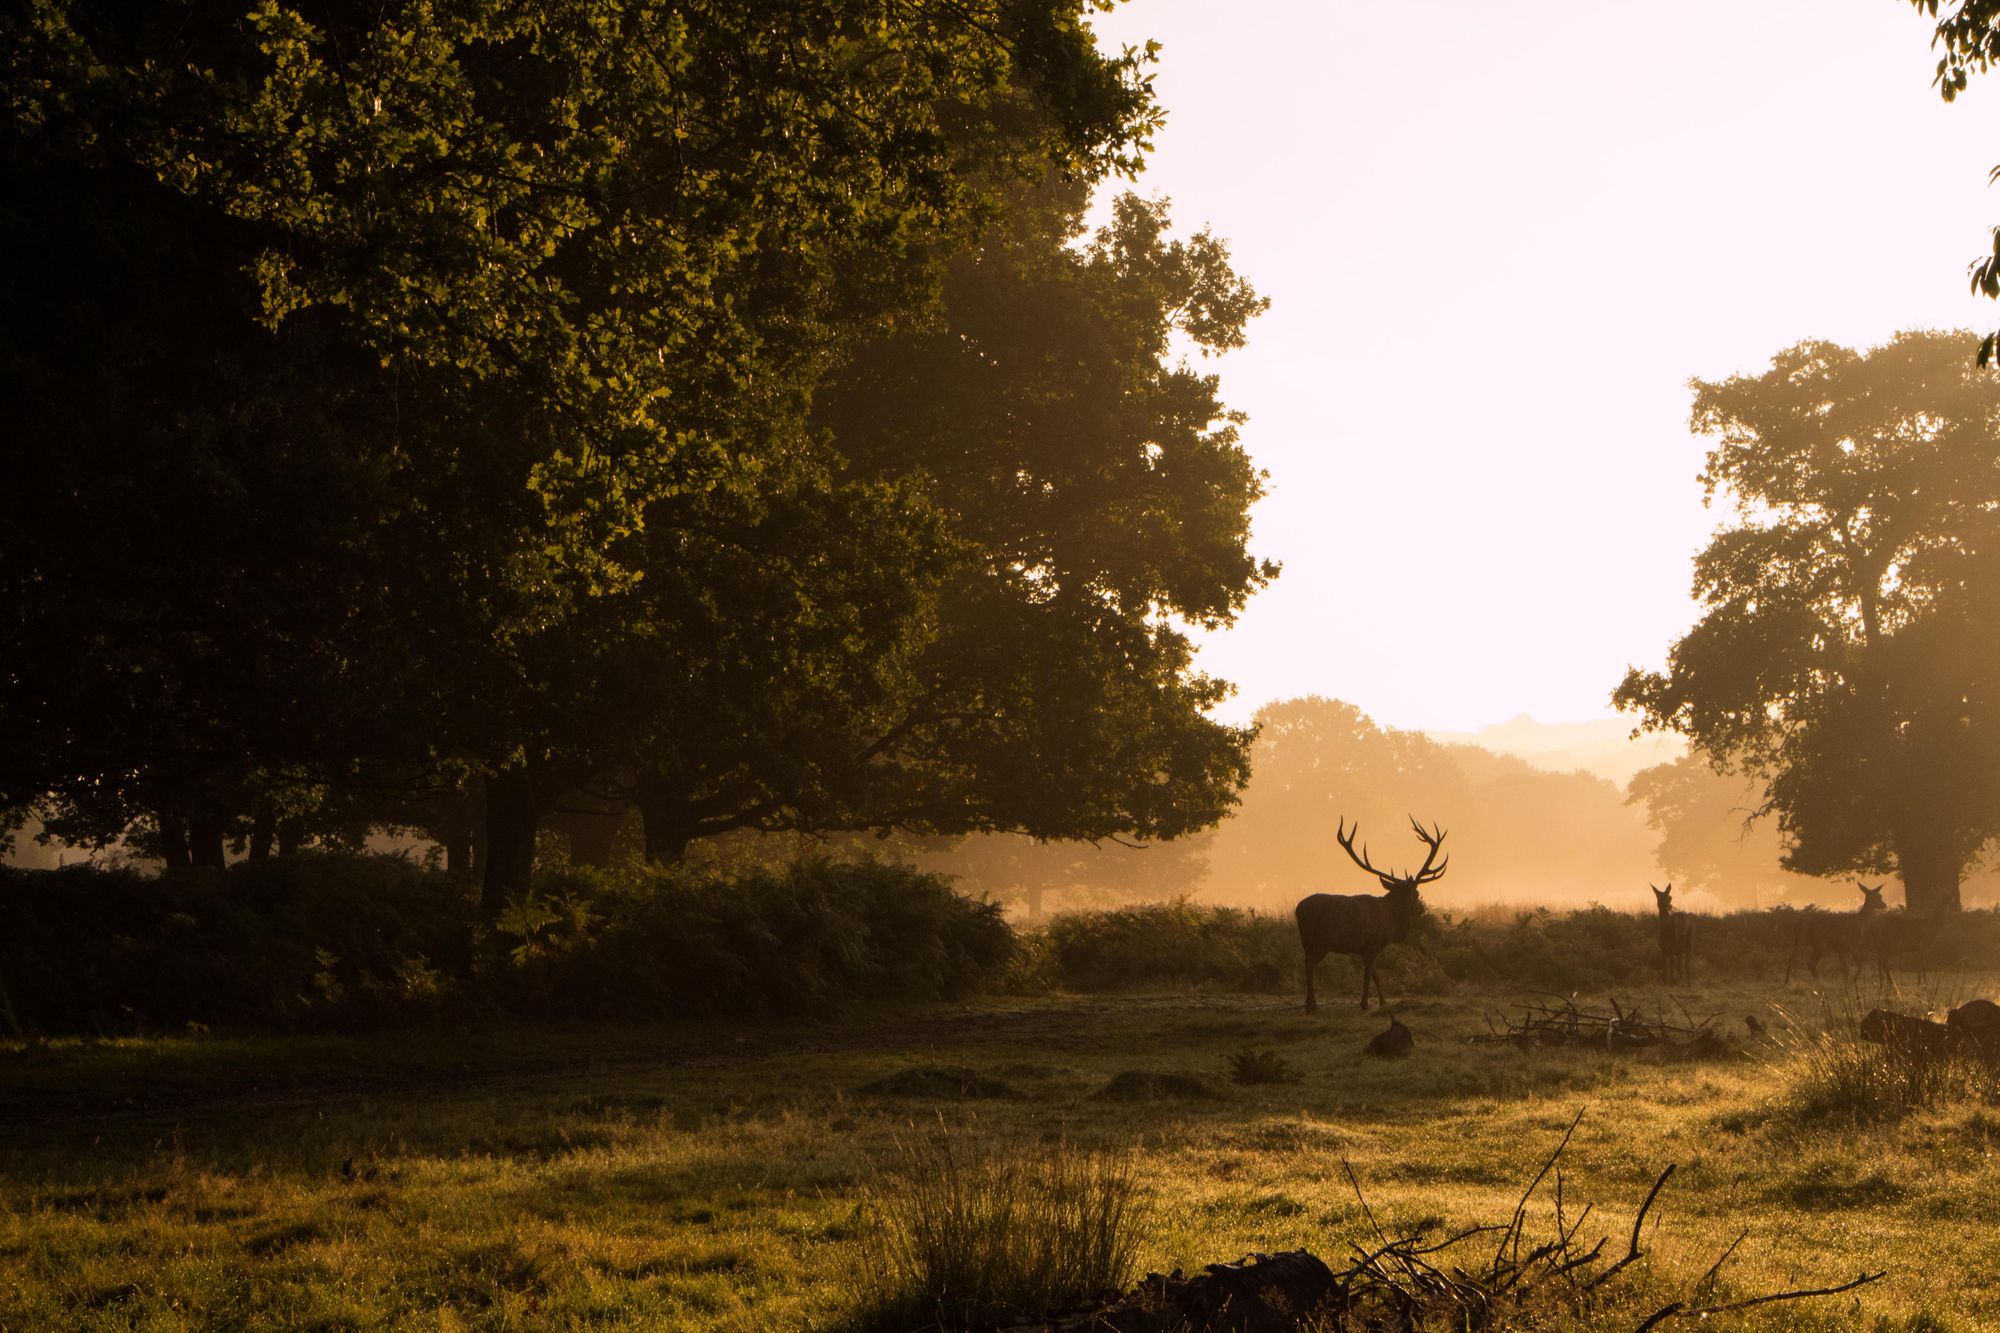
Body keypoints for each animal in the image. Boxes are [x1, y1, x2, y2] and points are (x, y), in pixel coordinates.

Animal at [1288, 816, 1448, 1012]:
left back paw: (1306, 1002)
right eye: (1416, 894)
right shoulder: (1373, 944)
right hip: (1324, 939)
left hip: (1306, 940)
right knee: (1310, 962)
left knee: (1305, 961)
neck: (1391, 920)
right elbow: (1369, 974)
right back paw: (1312, 1004)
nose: (1421, 909)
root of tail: (1299, 909)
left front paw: (1382, 1001)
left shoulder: (1365, 949)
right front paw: (1365, 1004)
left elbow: (1374, 974)